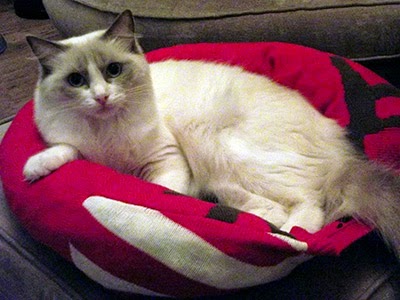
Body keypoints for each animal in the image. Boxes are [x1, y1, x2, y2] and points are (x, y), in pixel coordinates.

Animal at [24, 11, 400, 255]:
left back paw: (290, 236)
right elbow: (66, 150)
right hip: (221, 165)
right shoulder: (77, 145)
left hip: (216, 145)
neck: (107, 132)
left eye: (113, 71)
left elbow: (160, 190)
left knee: (310, 208)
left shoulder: (167, 160)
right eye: (76, 80)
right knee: (255, 200)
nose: (101, 97)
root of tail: (343, 153)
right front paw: (35, 169)